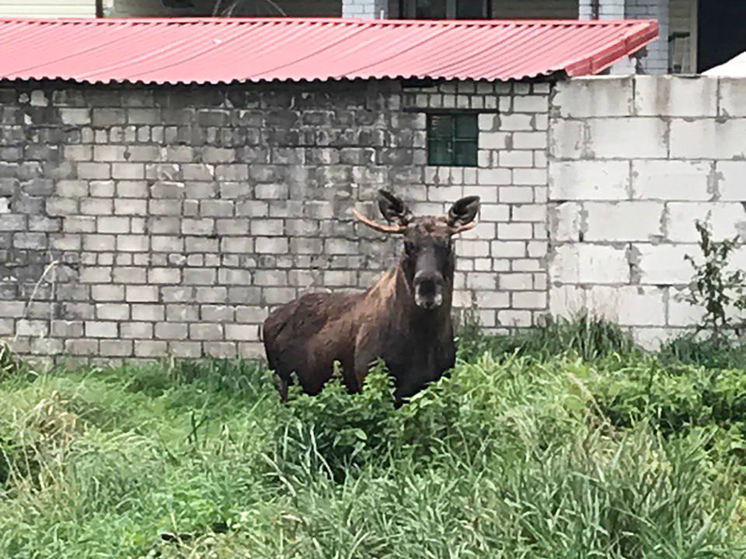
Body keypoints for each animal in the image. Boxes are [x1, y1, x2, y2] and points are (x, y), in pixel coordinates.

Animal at [264, 190, 480, 404]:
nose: (427, 288)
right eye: (407, 244)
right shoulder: (370, 378)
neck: (424, 336)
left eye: (448, 244)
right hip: (284, 384)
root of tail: (267, 322)